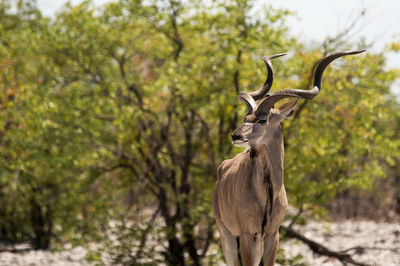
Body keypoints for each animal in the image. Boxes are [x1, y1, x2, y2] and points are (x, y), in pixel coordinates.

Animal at [212, 49, 366, 264]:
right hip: (226, 232)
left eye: (262, 120)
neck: (267, 194)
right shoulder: (247, 234)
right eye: (245, 118)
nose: (236, 136)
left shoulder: (271, 234)